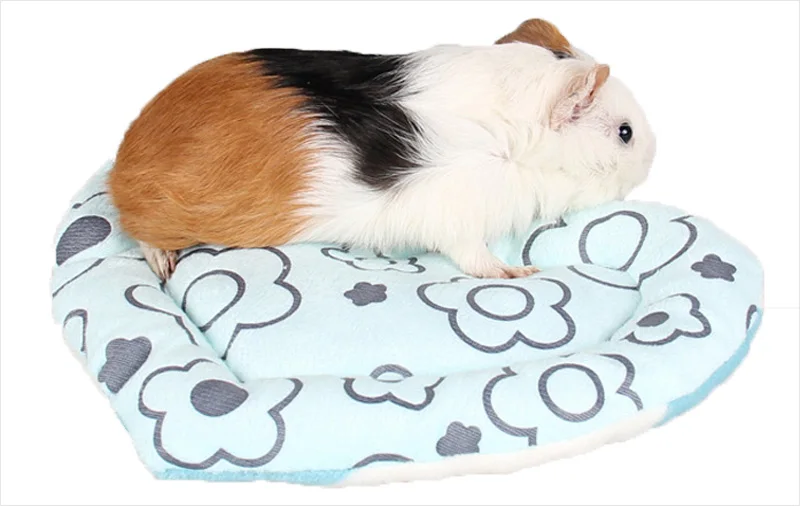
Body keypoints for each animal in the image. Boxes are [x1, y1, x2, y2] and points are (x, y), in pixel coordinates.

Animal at [108, 18, 656, 280]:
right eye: (625, 132)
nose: (652, 156)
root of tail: (125, 158)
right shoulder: (458, 221)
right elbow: (476, 258)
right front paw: (520, 272)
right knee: (142, 234)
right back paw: (165, 265)